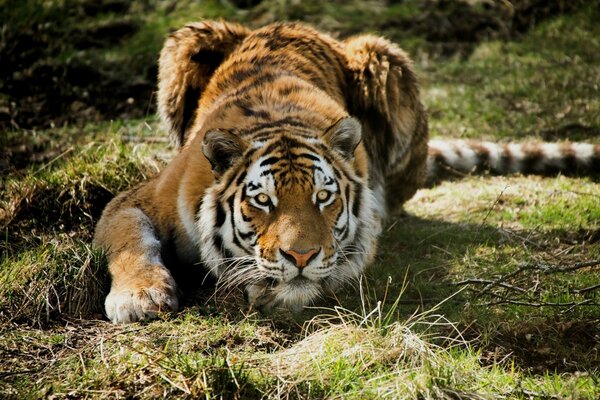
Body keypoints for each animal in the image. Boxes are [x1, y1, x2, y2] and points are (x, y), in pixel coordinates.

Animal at [94, 20, 600, 324]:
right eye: (263, 201)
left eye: (324, 197)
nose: (300, 257)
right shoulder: (136, 199)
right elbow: (130, 240)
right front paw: (139, 298)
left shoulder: (362, 228)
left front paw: (281, 291)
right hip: (187, 39)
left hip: (384, 59)